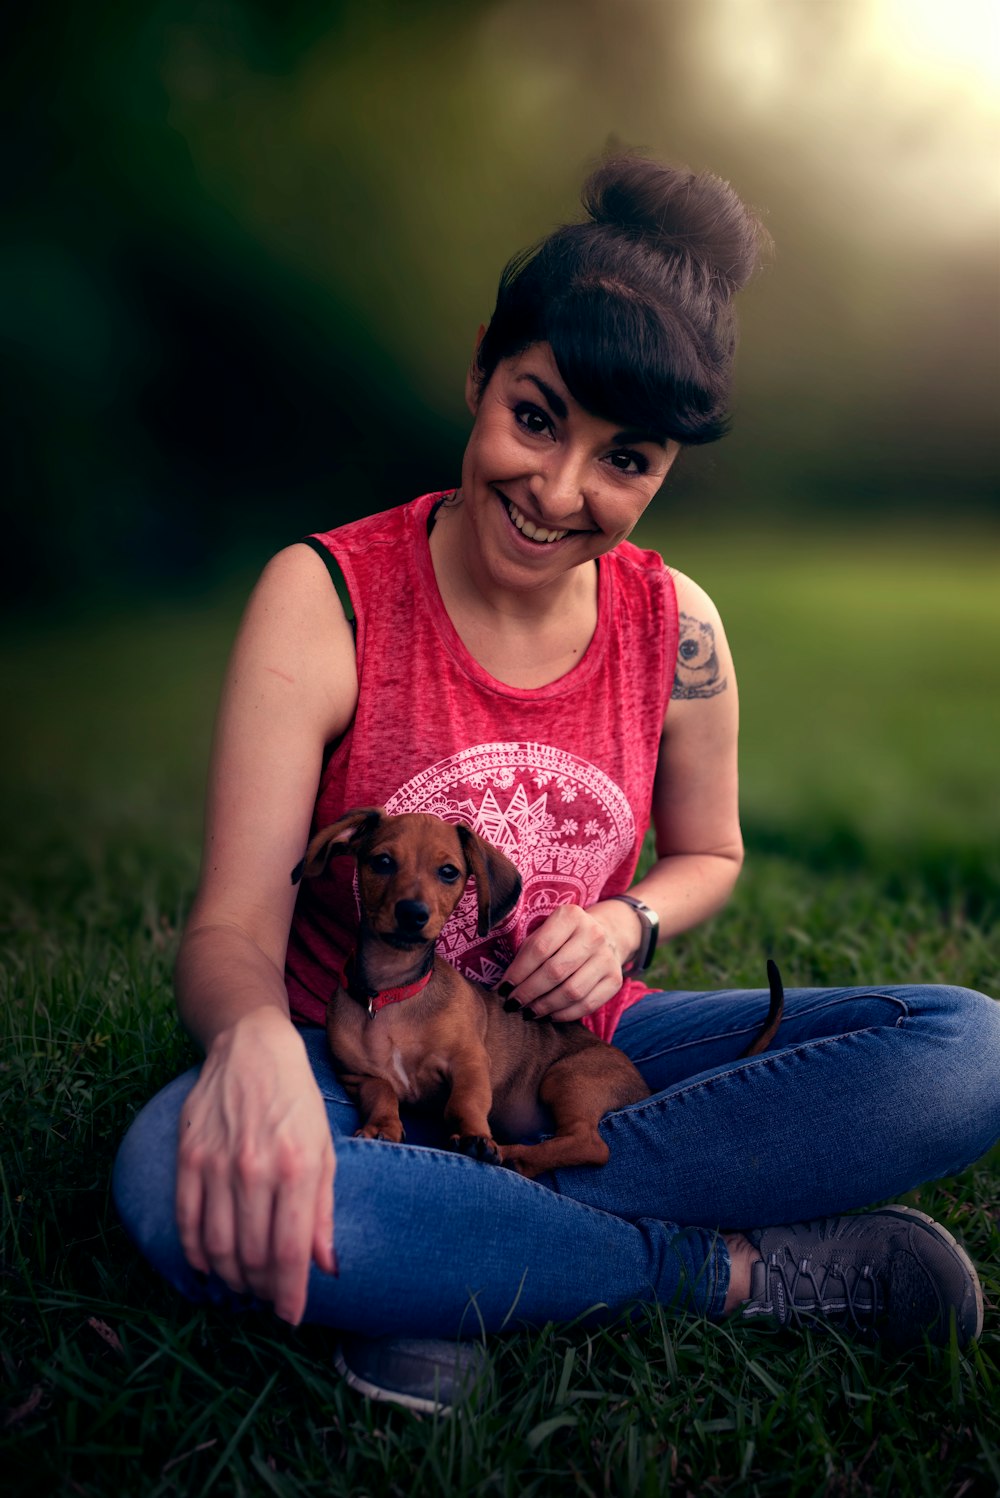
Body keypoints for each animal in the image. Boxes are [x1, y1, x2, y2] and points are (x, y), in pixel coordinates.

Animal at [288, 814, 778, 1174]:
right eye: (382, 862)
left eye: (448, 872)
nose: (413, 914)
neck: (395, 994)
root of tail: (642, 1085)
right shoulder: (360, 1076)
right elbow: (382, 1095)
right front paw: (383, 1127)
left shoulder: (470, 1062)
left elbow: (467, 1102)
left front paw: (475, 1137)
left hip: (569, 1077)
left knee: (591, 1145)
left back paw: (515, 1155)